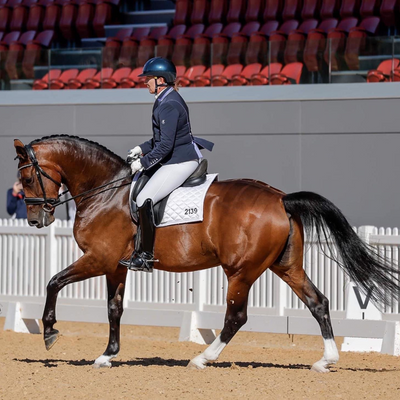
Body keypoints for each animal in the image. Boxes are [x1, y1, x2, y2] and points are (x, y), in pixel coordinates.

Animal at [14, 137, 398, 372]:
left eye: (27, 180)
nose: (35, 219)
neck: (106, 192)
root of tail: (280, 198)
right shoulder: (115, 266)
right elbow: (114, 310)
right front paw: (107, 355)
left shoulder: (98, 259)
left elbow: (53, 282)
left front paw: (49, 332)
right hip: (286, 266)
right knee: (318, 301)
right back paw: (325, 360)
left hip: (241, 271)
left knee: (236, 317)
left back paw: (201, 358)